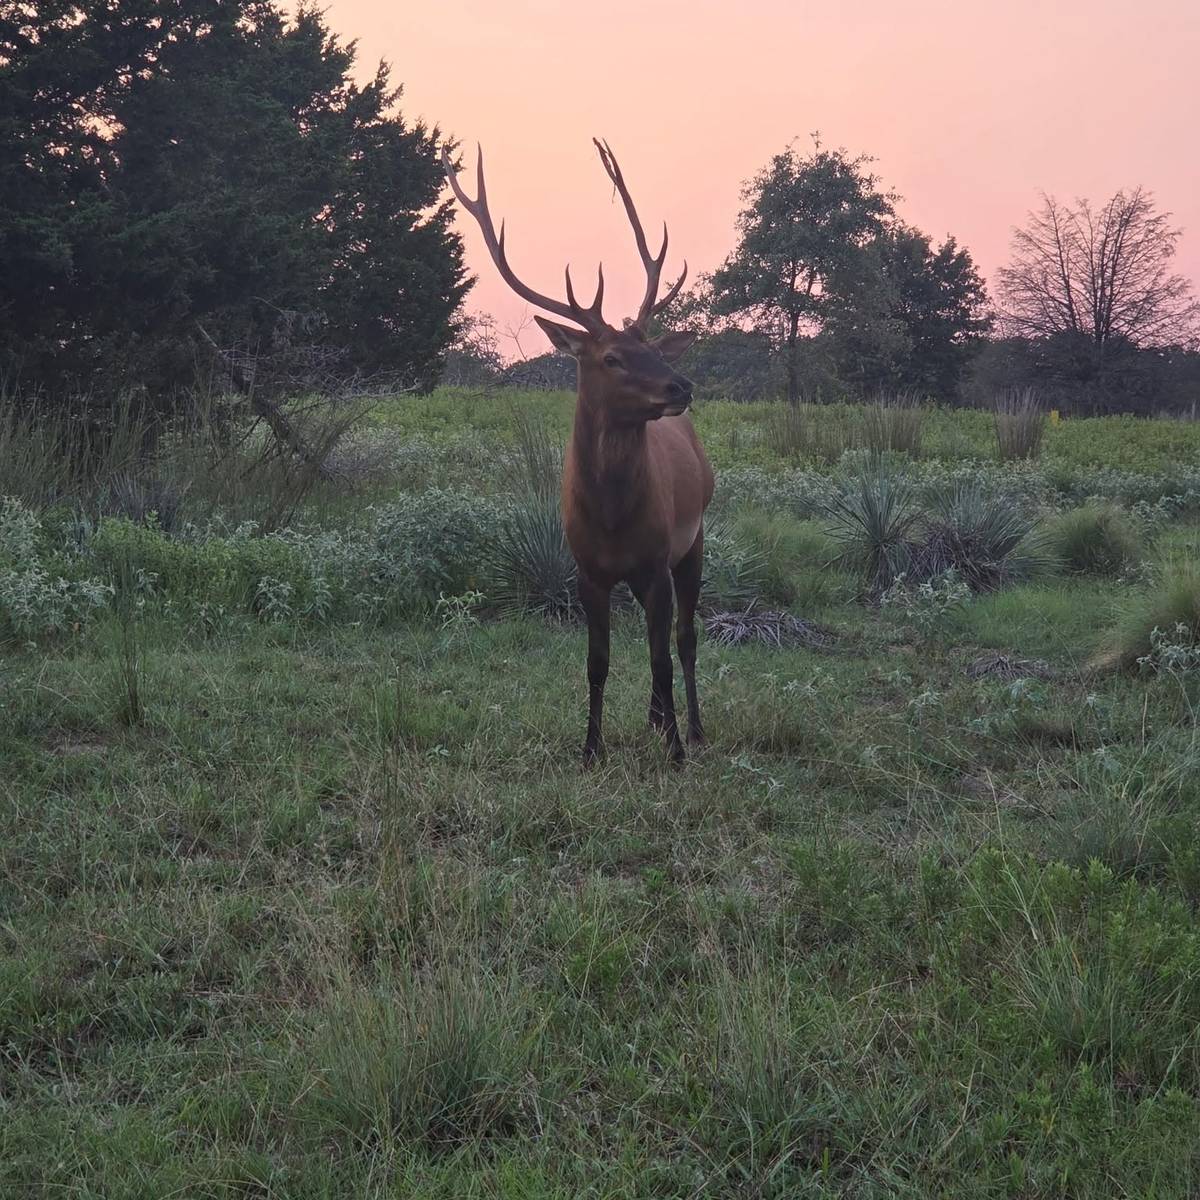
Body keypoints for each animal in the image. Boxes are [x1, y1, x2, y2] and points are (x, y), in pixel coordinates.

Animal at [442, 138, 714, 765]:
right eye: (611, 357)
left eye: (650, 346)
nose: (681, 386)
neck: (612, 519)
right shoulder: (587, 570)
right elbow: (598, 662)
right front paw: (591, 749)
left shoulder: (656, 561)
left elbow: (662, 656)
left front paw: (673, 752)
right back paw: (654, 720)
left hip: (694, 543)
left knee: (685, 641)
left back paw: (689, 728)